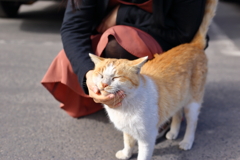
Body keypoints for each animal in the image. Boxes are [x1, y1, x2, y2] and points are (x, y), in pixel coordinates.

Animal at [88, 0, 218, 159]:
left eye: (116, 77)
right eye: (100, 76)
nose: (104, 84)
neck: (125, 105)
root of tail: (192, 45)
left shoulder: (147, 136)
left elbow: (143, 155)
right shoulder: (128, 129)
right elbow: (128, 141)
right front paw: (126, 153)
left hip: (192, 102)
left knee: (192, 123)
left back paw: (187, 141)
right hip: (177, 96)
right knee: (177, 112)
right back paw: (173, 132)